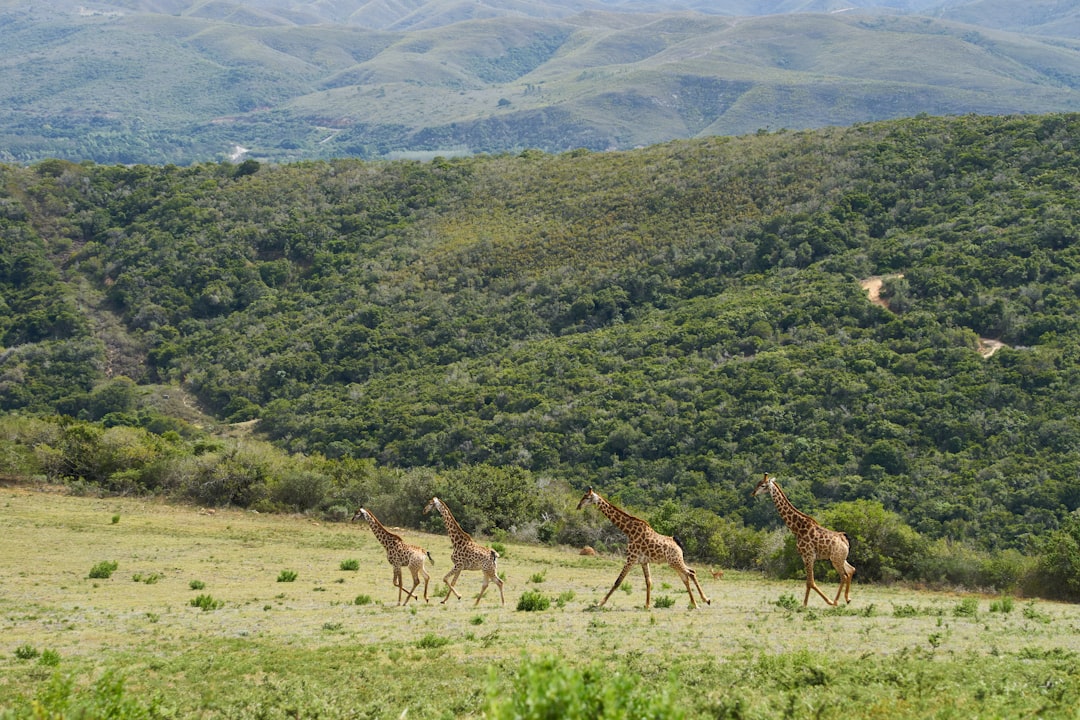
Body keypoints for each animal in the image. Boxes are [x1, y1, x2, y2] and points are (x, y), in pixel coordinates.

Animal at [578, 487, 712, 613]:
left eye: (587, 497)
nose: (578, 506)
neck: (629, 531)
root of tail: (677, 544)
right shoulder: (643, 561)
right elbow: (648, 582)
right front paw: (647, 605)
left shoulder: (630, 559)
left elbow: (618, 581)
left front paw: (599, 603)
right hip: (675, 561)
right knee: (688, 575)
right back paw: (696, 602)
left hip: (674, 561)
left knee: (690, 574)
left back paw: (703, 601)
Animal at [747, 474, 855, 604]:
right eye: (757, 483)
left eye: (763, 485)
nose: (753, 493)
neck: (797, 529)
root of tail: (845, 540)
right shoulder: (804, 557)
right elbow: (808, 582)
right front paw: (805, 604)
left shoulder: (809, 555)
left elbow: (811, 582)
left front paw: (818, 603)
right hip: (840, 558)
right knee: (851, 570)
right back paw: (847, 598)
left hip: (836, 559)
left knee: (844, 576)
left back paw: (835, 601)